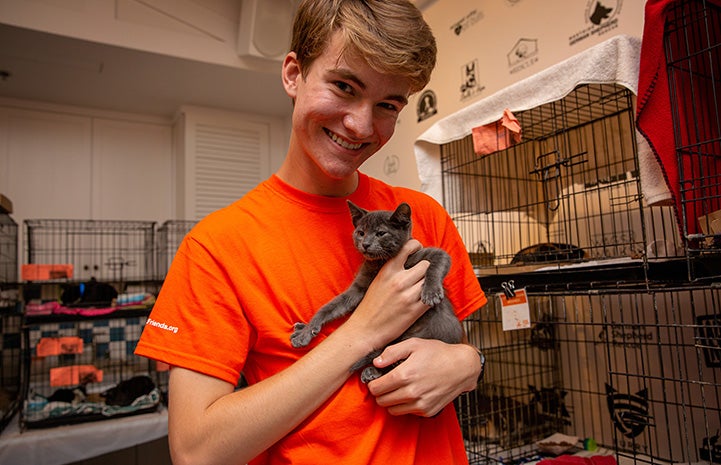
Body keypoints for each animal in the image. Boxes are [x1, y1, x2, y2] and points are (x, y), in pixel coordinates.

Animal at [288, 201, 462, 382]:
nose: (365, 244)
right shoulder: (357, 289)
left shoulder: (431, 254)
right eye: (361, 233)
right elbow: (329, 307)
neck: (380, 263)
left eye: (381, 233)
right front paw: (307, 331)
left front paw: (431, 293)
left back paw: (373, 371)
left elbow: (436, 265)